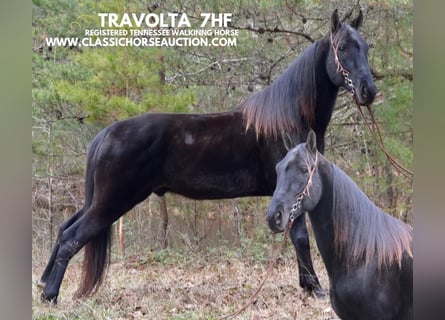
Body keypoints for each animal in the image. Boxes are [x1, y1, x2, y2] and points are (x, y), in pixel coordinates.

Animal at [39, 10, 374, 304]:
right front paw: (314, 288)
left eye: (366, 46)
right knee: (72, 238)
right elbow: (302, 238)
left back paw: (43, 284)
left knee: (64, 229)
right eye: (342, 48)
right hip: (112, 202)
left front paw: (307, 286)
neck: (288, 119)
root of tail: (107, 133)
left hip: (98, 200)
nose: (368, 90)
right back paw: (50, 296)